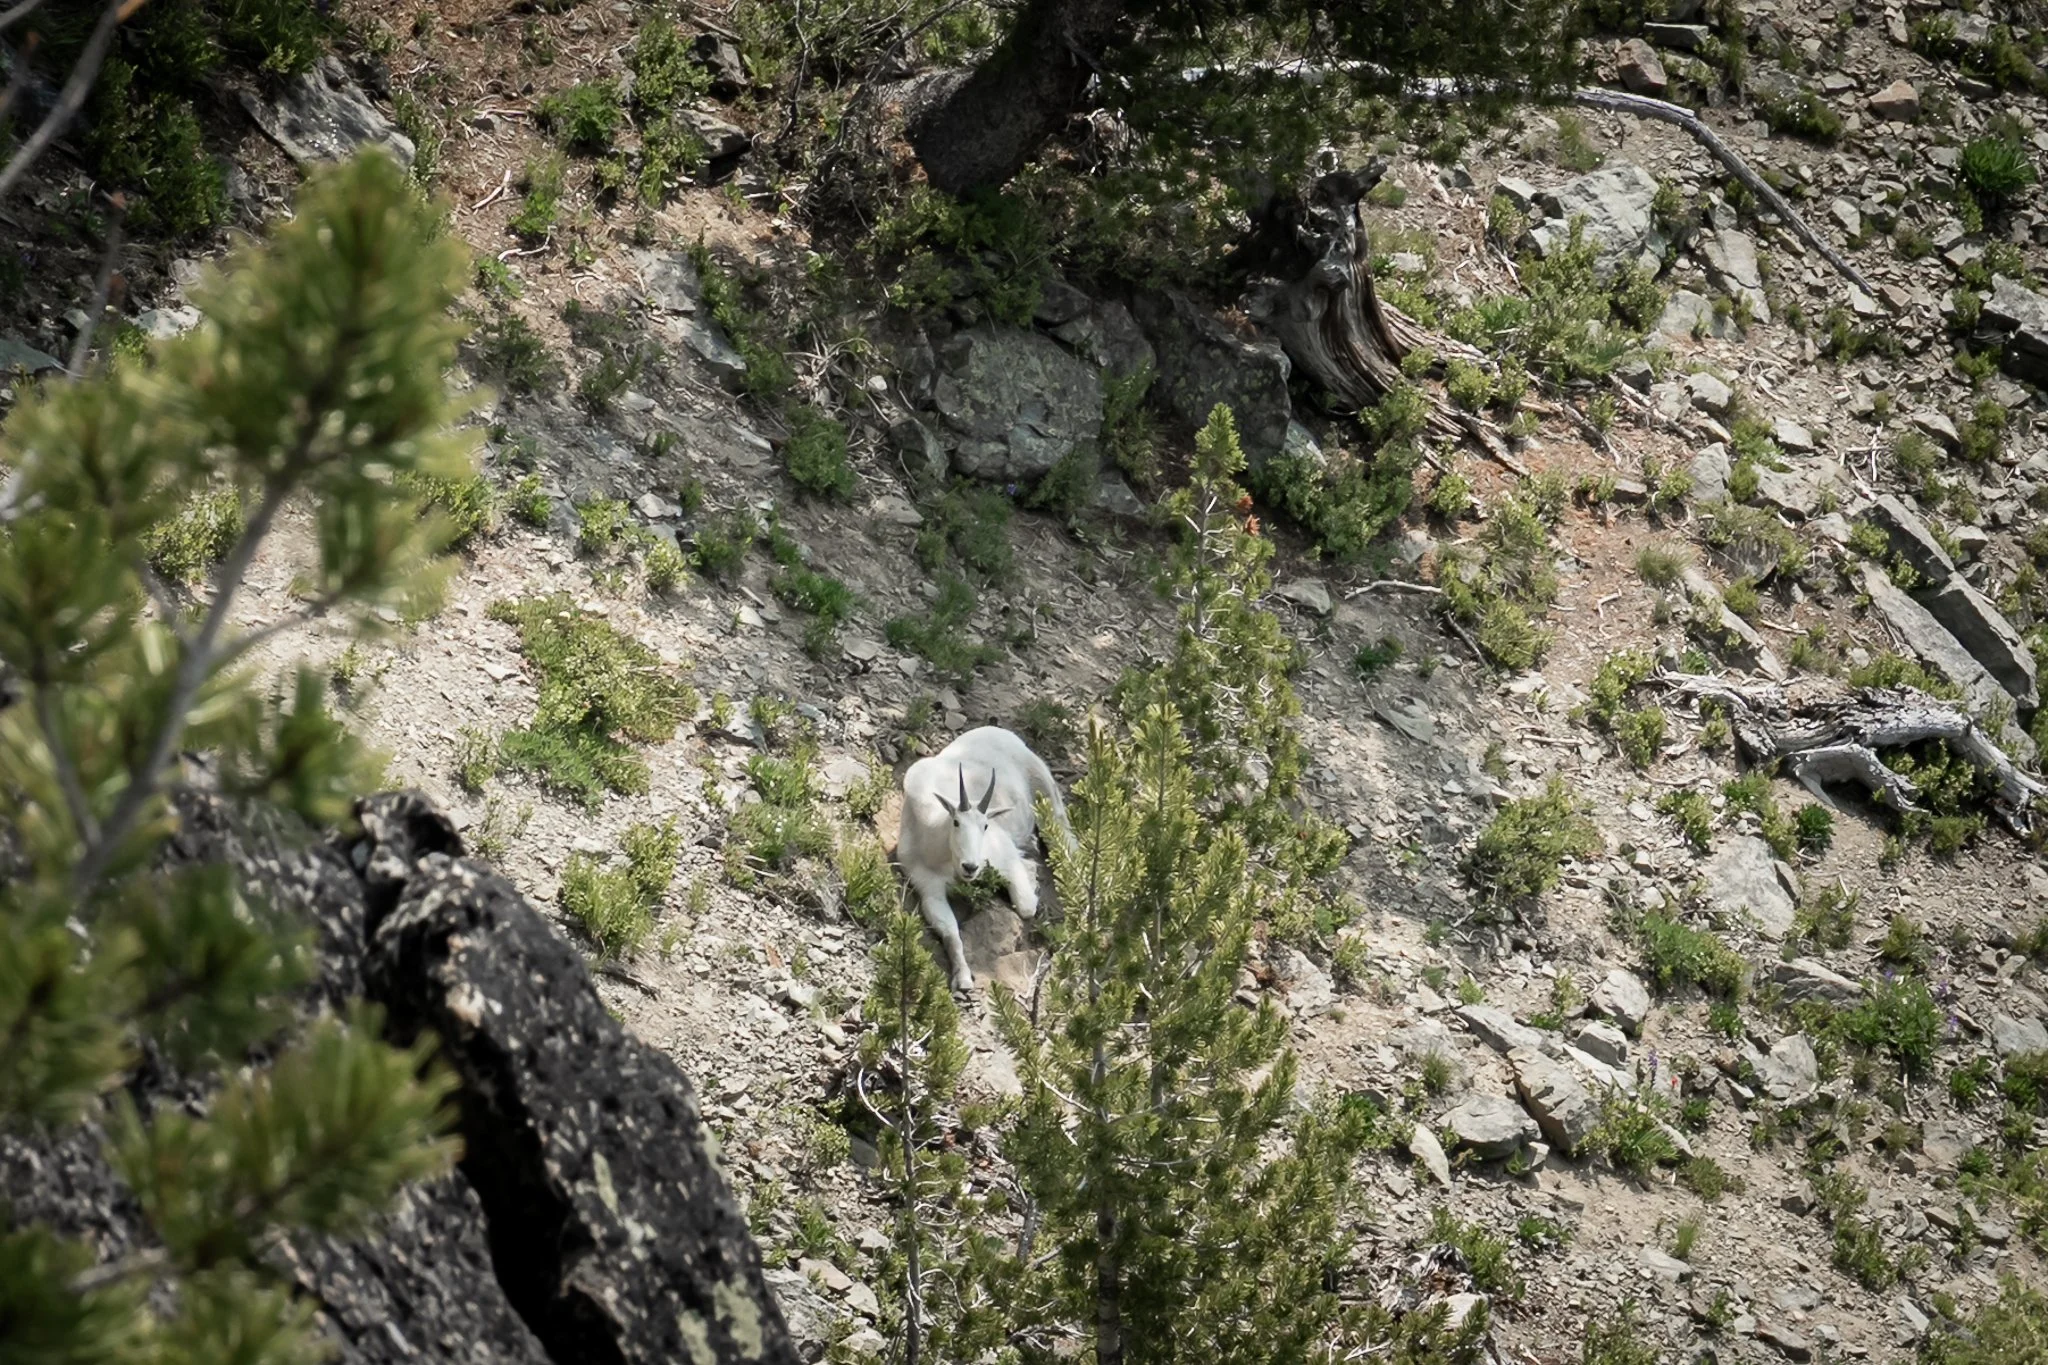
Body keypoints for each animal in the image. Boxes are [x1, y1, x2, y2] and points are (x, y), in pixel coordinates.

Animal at [898, 726, 1073, 990]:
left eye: (985, 826)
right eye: (956, 822)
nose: (970, 867)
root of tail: (1002, 732)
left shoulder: (1003, 856)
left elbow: (1026, 906)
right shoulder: (928, 888)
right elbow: (950, 932)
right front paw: (962, 978)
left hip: (1045, 791)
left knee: (1065, 838)